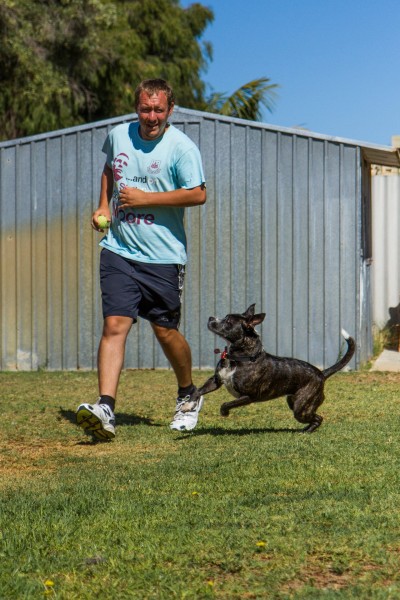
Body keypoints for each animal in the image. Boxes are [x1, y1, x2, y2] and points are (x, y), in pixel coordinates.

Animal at [195, 304, 354, 432]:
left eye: (228, 321)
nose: (210, 318)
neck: (238, 358)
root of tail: (321, 373)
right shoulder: (216, 380)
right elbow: (198, 391)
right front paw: (190, 402)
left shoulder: (248, 397)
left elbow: (226, 403)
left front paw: (224, 412)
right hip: (293, 402)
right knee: (315, 417)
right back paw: (305, 430)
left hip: (301, 408)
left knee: (318, 418)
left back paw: (307, 431)